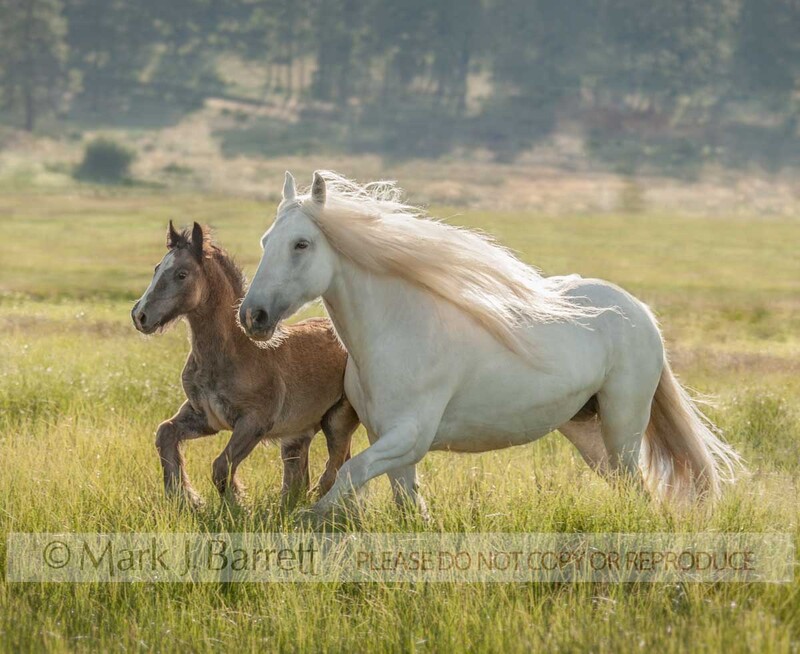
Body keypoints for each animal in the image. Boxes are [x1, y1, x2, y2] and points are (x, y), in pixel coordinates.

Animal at [131, 221, 359, 507]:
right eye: (157, 268)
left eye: (182, 274)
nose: (139, 315)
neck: (234, 353)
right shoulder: (204, 418)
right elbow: (165, 433)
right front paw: (186, 498)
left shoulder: (254, 422)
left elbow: (220, 467)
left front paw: (237, 505)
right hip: (297, 434)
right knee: (300, 474)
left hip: (338, 420)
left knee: (334, 468)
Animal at [239, 171, 743, 519]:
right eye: (265, 240)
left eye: (301, 244)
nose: (252, 317)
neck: (399, 332)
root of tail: (639, 311)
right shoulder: (392, 444)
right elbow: (406, 505)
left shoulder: (408, 437)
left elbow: (344, 481)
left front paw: (310, 520)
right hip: (588, 433)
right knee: (631, 490)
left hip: (623, 426)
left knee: (636, 486)